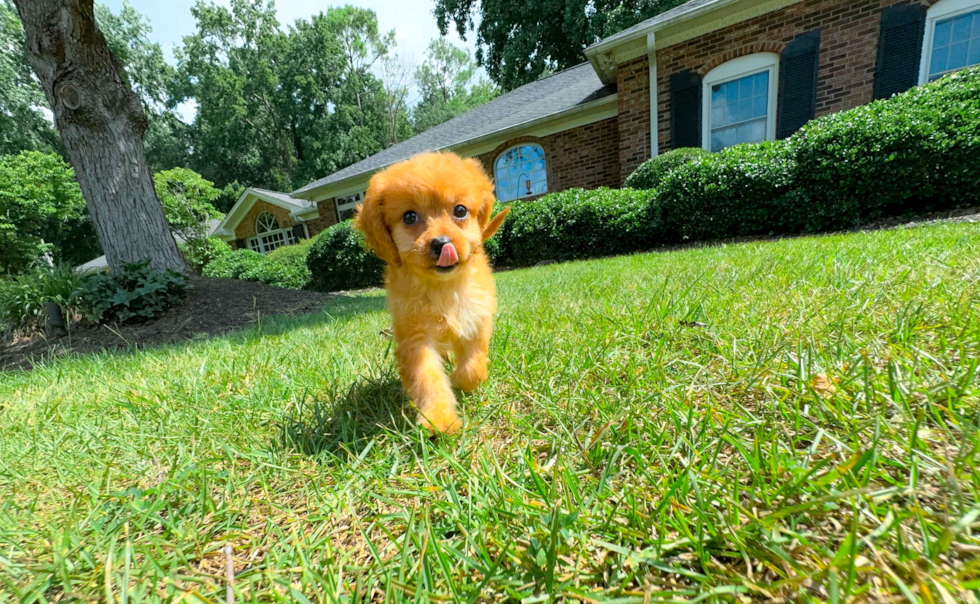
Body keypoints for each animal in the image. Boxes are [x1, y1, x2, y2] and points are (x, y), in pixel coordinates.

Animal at [360, 151, 512, 434]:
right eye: (409, 217)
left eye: (460, 211)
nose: (442, 243)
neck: (443, 286)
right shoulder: (416, 338)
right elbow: (427, 378)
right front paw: (438, 419)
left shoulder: (476, 318)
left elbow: (474, 365)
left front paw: (459, 380)